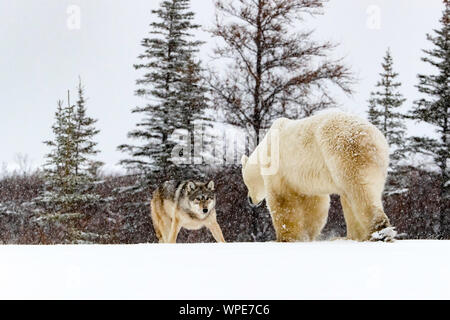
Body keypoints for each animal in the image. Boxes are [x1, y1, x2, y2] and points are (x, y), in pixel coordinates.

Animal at [241, 109, 396, 241]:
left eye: (246, 183)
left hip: (344, 154)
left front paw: (286, 237)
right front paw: (307, 234)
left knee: (360, 191)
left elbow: (282, 199)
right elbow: (314, 203)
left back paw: (379, 231)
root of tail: (372, 137)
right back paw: (354, 236)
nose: (249, 199)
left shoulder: (279, 168)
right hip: (375, 164)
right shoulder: (304, 180)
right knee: (354, 196)